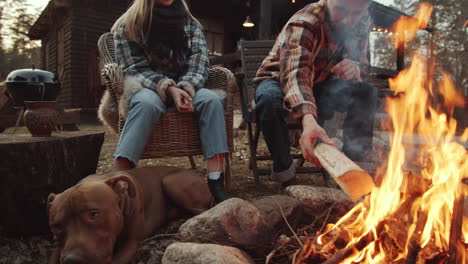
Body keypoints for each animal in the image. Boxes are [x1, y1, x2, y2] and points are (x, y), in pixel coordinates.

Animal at [46, 167, 211, 264]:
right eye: (56, 226)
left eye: (93, 214)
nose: (72, 260)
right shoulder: (59, 249)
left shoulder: (131, 244)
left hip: (171, 182)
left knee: (203, 210)